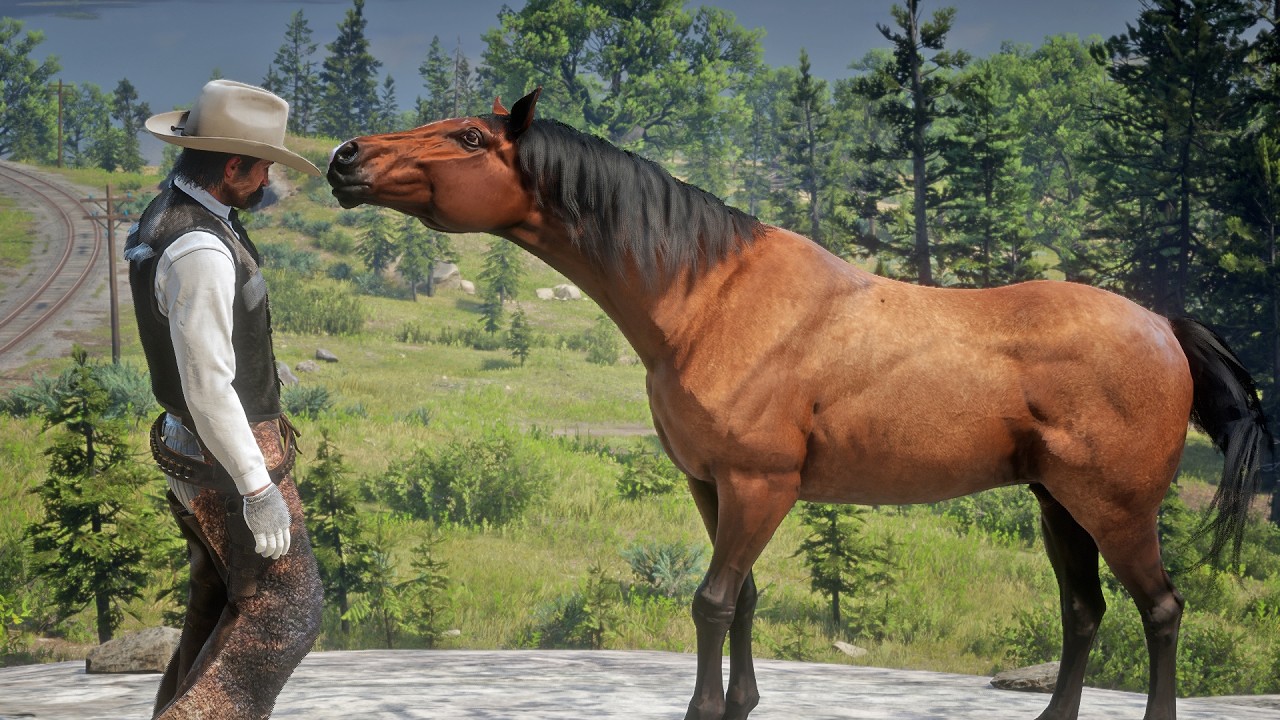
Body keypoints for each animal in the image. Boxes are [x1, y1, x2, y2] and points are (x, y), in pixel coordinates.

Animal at [326, 88, 1274, 720]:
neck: (710, 300)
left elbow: (712, 601)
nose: (345, 158)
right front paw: (740, 702)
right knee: (1084, 613)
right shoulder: (713, 486)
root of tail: (1163, 324)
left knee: (1160, 611)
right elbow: (741, 597)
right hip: (1058, 504)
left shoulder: (760, 485)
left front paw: (706, 709)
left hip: (1117, 509)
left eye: (467, 135)